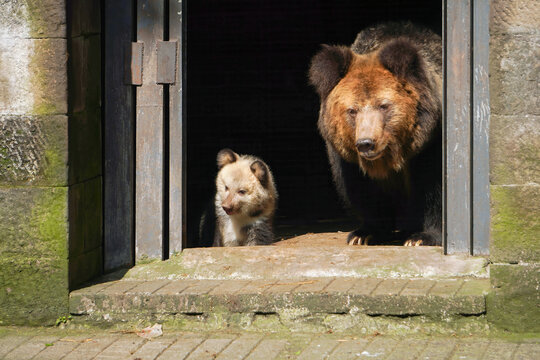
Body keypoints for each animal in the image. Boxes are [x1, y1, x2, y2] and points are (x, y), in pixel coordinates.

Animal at [310, 22, 440, 246]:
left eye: (384, 105)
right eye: (352, 110)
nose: (366, 143)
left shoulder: (430, 143)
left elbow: (435, 187)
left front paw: (422, 237)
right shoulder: (347, 158)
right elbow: (362, 191)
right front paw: (364, 233)